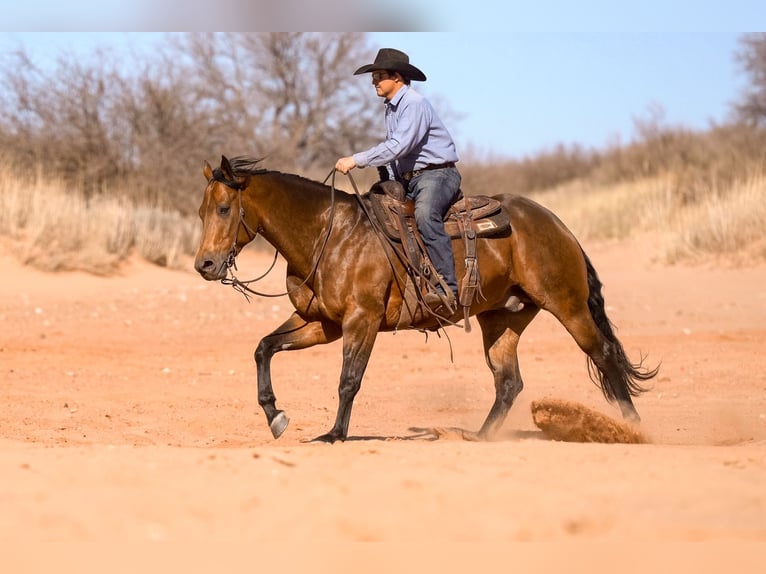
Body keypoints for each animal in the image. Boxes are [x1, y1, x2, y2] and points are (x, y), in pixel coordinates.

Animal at [194, 155, 660, 444]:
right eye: (201, 211)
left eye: (224, 209)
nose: (206, 264)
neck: (330, 235)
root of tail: (558, 225)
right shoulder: (321, 323)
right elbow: (264, 348)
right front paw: (275, 416)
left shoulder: (361, 321)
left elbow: (348, 379)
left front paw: (334, 434)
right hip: (502, 318)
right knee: (508, 380)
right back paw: (481, 436)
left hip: (567, 304)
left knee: (603, 355)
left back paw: (634, 430)